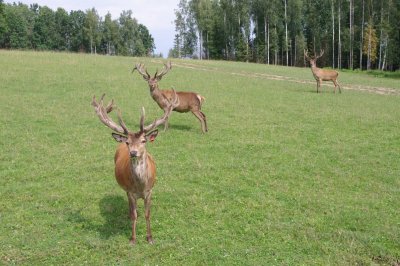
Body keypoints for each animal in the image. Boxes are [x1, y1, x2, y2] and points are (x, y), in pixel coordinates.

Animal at [92, 92, 178, 245]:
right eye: (128, 142)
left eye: (143, 141)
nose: (133, 152)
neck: (140, 186)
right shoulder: (131, 192)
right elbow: (134, 215)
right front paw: (132, 239)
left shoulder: (150, 191)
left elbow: (147, 214)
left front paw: (150, 238)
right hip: (126, 189)